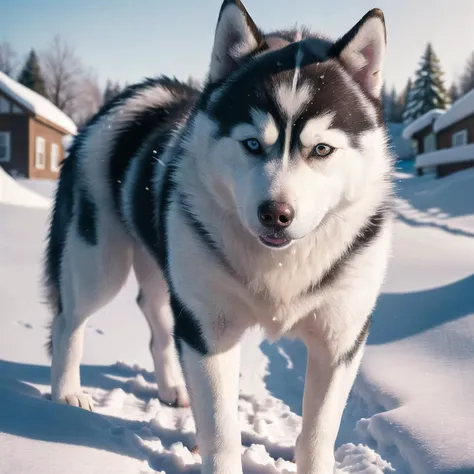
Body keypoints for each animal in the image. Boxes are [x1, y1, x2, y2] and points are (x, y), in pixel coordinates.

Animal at [43, 1, 392, 472]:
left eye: (321, 149)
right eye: (252, 143)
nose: (276, 215)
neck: (279, 263)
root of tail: (139, 92)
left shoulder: (339, 339)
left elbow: (318, 438)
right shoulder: (209, 331)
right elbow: (222, 433)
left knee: (153, 313)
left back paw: (171, 387)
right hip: (98, 263)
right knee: (69, 320)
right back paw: (66, 396)